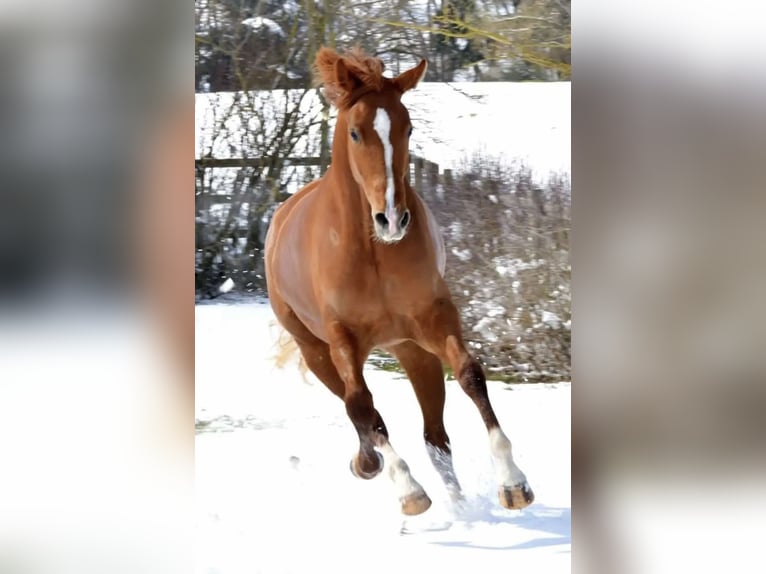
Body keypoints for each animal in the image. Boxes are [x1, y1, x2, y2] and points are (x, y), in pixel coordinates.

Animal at [264, 48, 536, 516]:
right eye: (355, 132)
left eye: (407, 127)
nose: (392, 218)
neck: (372, 251)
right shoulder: (342, 338)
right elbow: (361, 405)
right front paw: (408, 490)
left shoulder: (435, 317)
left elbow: (470, 374)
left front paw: (513, 482)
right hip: (314, 350)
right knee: (358, 407)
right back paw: (368, 464)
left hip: (411, 350)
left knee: (435, 437)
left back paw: (458, 505)